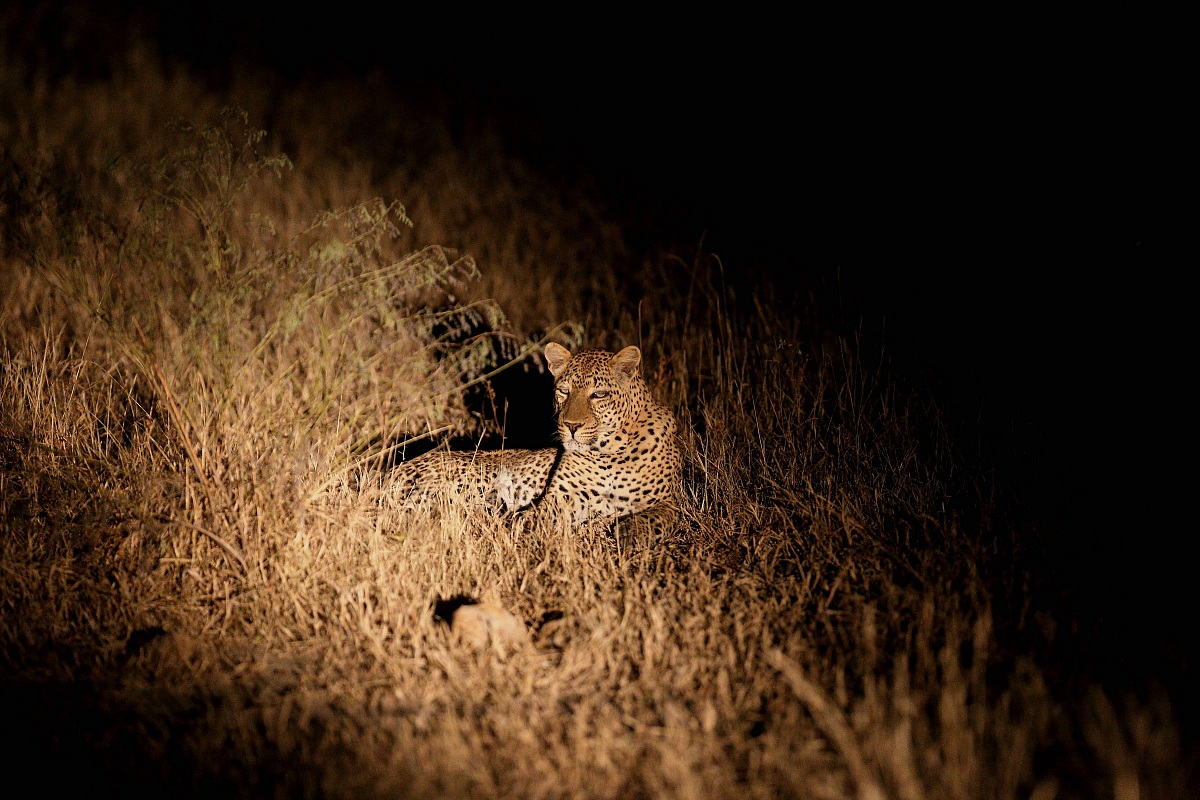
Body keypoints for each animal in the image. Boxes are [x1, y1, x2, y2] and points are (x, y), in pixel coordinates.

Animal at [389, 342, 682, 534]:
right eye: (563, 391)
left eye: (599, 394)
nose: (571, 426)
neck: (607, 451)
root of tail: (390, 473)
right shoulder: (562, 497)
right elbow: (536, 517)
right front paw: (520, 526)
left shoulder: (671, 502)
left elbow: (651, 520)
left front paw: (629, 533)